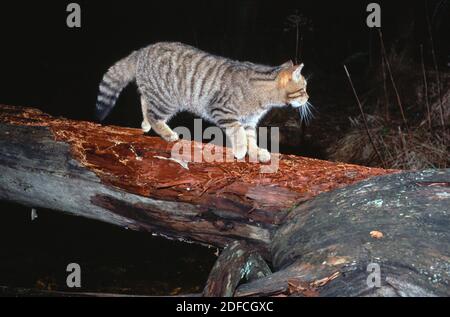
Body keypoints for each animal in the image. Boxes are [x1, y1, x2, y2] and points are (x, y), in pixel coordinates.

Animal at [96, 41, 310, 163]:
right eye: (304, 88)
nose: (308, 97)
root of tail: (143, 50)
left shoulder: (249, 121)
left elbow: (251, 138)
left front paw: (256, 152)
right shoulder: (222, 110)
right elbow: (238, 133)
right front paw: (242, 150)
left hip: (156, 93)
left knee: (144, 99)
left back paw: (146, 123)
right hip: (168, 100)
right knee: (153, 113)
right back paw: (166, 133)